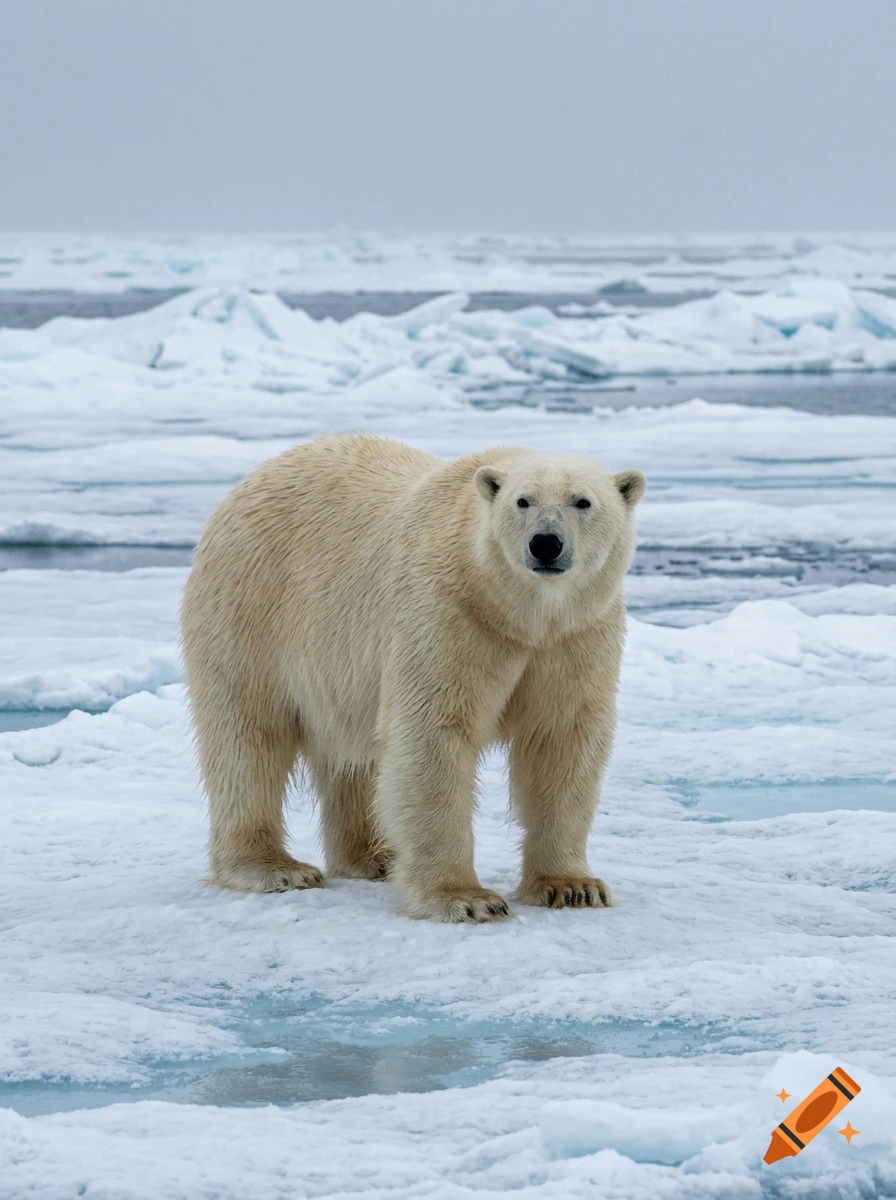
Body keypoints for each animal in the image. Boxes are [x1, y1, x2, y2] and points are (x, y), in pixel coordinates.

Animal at [181, 433, 645, 923]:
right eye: (523, 501)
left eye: (583, 501)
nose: (545, 544)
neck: (517, 613)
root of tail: (248, 481)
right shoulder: (448, 610)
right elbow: (433, 734)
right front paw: (466, 898)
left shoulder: (575, 636)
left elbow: (562, 739)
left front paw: (574, 887)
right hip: (252, 606)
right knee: (248, 737)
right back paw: (275, 868)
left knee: (353, 758)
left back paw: (376, 857)